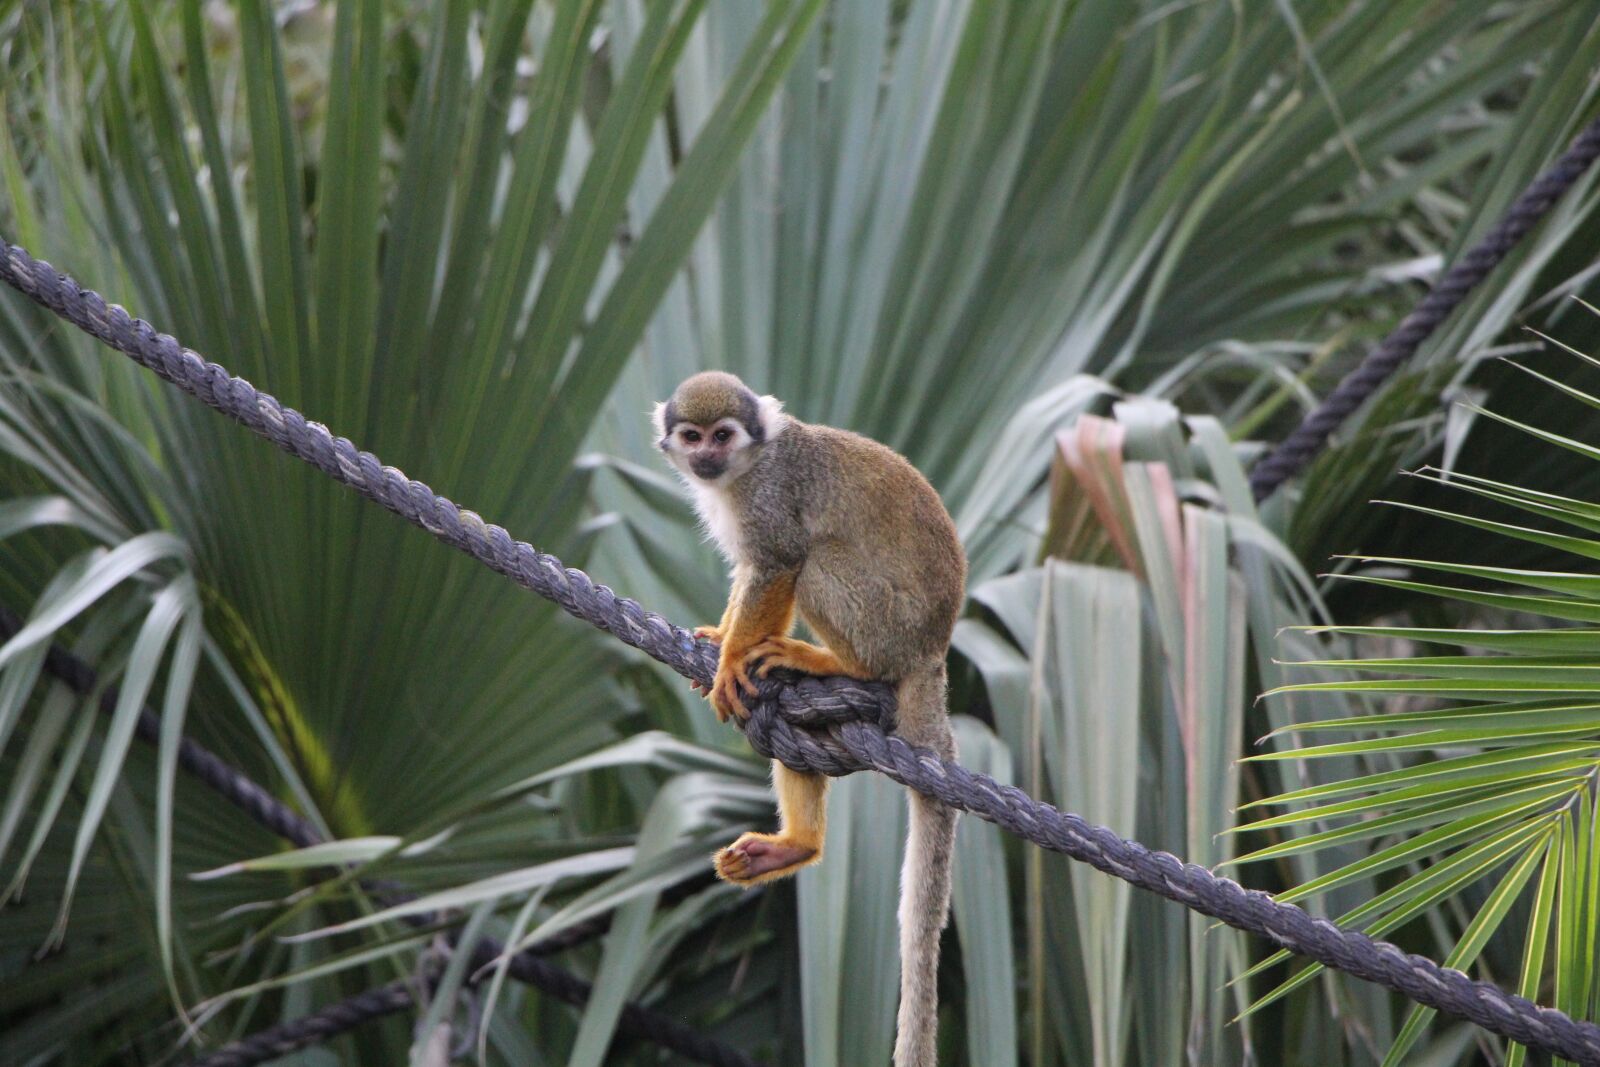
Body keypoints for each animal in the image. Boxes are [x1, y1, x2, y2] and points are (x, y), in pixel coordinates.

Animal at [653, 371, 965, 1067]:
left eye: (723, 435)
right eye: (693, 436)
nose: (705, 458)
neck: (747, 468)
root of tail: (932, 649)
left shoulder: (772, 498)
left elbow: (779, 563)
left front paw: (731, 661)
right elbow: (755, 572)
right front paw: (723, 639)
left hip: (885, 625)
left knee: (817, 561)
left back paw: (833, 661)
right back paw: (797, 844)